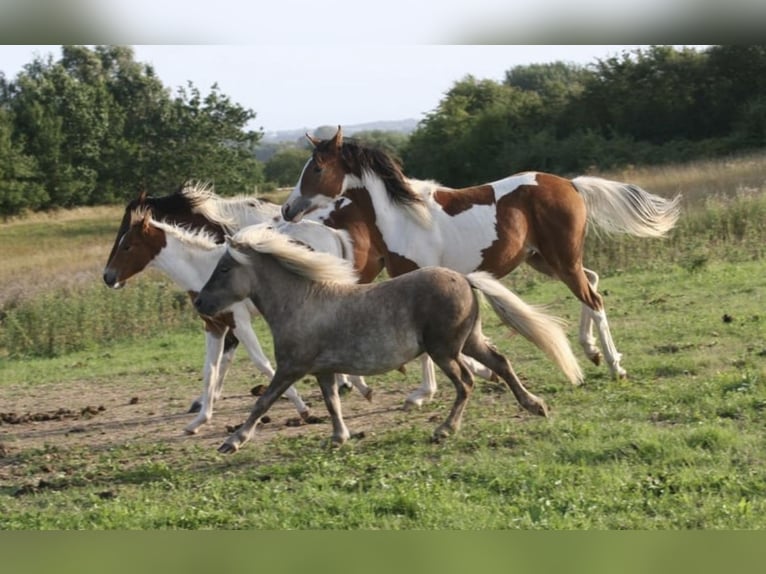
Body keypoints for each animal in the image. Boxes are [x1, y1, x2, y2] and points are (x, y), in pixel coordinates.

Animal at [102, 205, 372, 434]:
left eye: (127, 246)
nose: (108, 277)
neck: (202, 270)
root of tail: (333, 232)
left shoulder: (239, 323)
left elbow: (262, 363)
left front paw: (302, 408)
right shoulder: (214, 326)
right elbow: (210, 369)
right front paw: (199, 421)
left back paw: (356, 384)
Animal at [193, 223, 583, 453]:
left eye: (224, 268)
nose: (200, 303)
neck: (301, 303)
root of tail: (464, 278)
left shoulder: (291, 367)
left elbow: (262, 403)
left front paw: (232, 442)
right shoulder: (322, 370)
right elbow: (332, 402)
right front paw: (339, 437)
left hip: (444, 350)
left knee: (467, 383)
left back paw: (444, 430)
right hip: (468, 341)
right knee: (501, 362)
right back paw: (535, 405)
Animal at [281, 126, 682, 404]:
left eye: (317, 168)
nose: (287, 209)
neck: (405, 218)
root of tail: (571, 184)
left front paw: (421, 394)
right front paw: (470, 376)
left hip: (562, 259)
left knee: (594, 300)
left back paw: (614, 365)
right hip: (545, 260)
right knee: (593, 282)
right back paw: (592, 352)